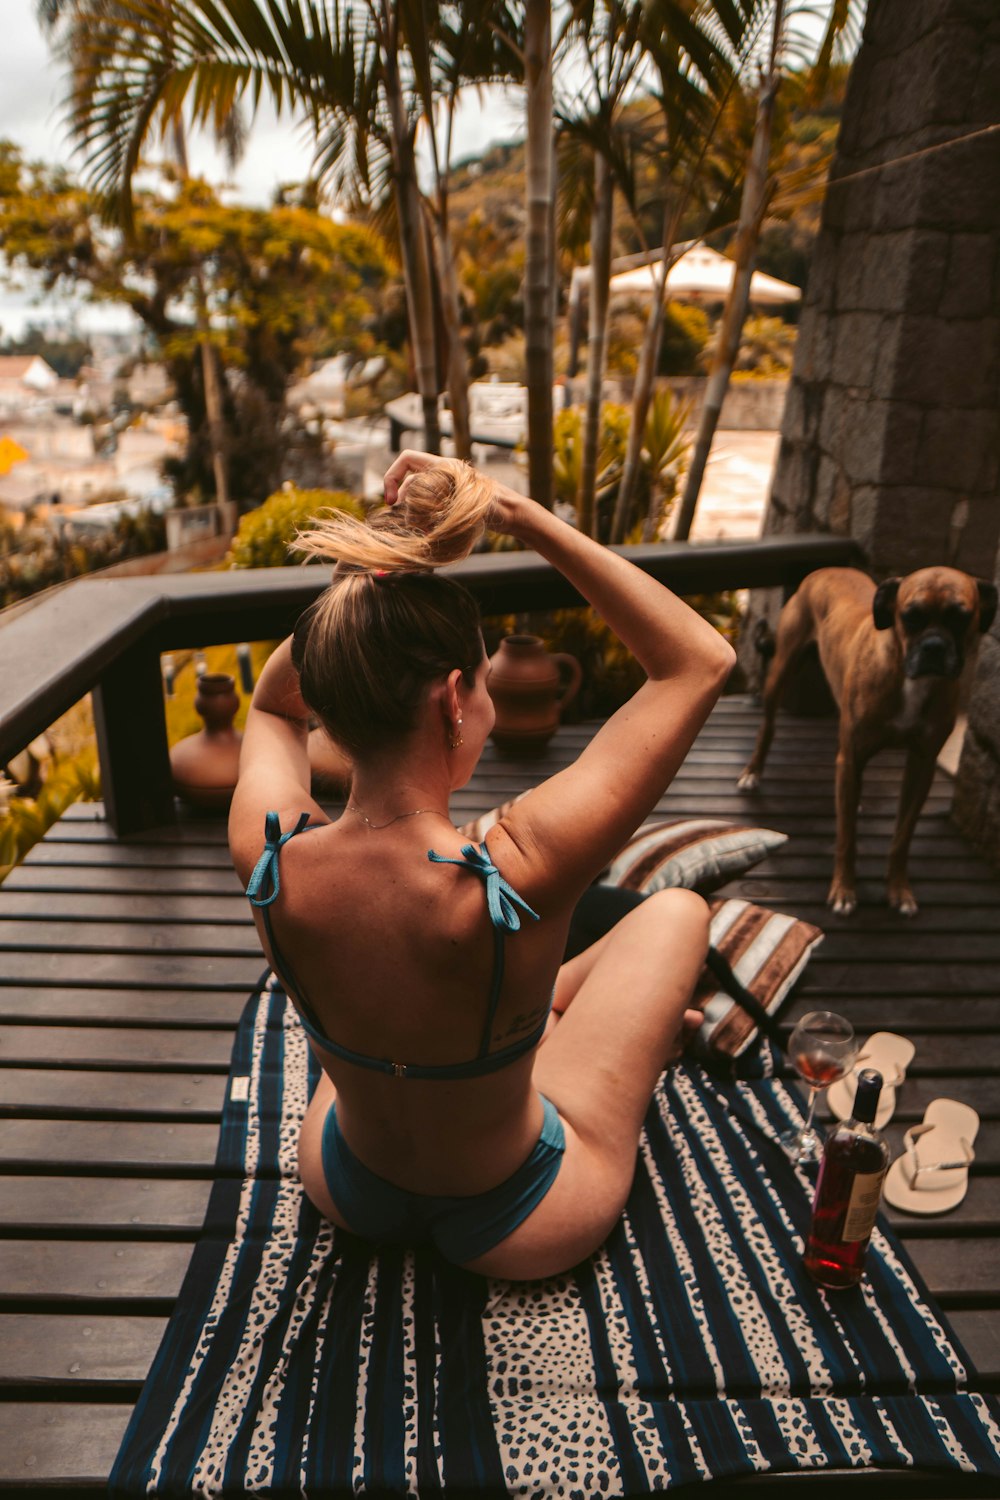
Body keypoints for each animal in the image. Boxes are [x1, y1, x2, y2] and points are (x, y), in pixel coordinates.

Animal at [740, 564, 995, 906]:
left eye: (960, 617)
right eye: (910, 616)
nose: (933, 647)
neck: (911, 681)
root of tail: (827, 568)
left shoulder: (922, 766)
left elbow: (902, 836)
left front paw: (899, 888)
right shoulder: (854, 755)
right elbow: (847, 836)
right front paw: (844, 889)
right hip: (781, 670)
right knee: (767, 726)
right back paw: (753, 772)